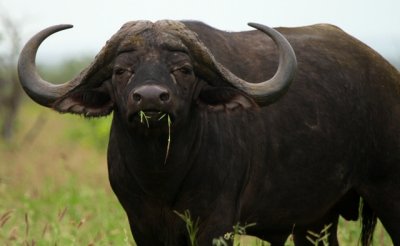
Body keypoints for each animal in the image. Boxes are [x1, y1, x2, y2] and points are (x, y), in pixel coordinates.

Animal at [17, 20, 398, 245]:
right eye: (121, 71)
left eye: (184, 69)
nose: (151, 98)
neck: (162, 176)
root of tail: (387, 73)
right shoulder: (141, 224)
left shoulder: (216, 224)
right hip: (316, 221)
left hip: (387, 194)